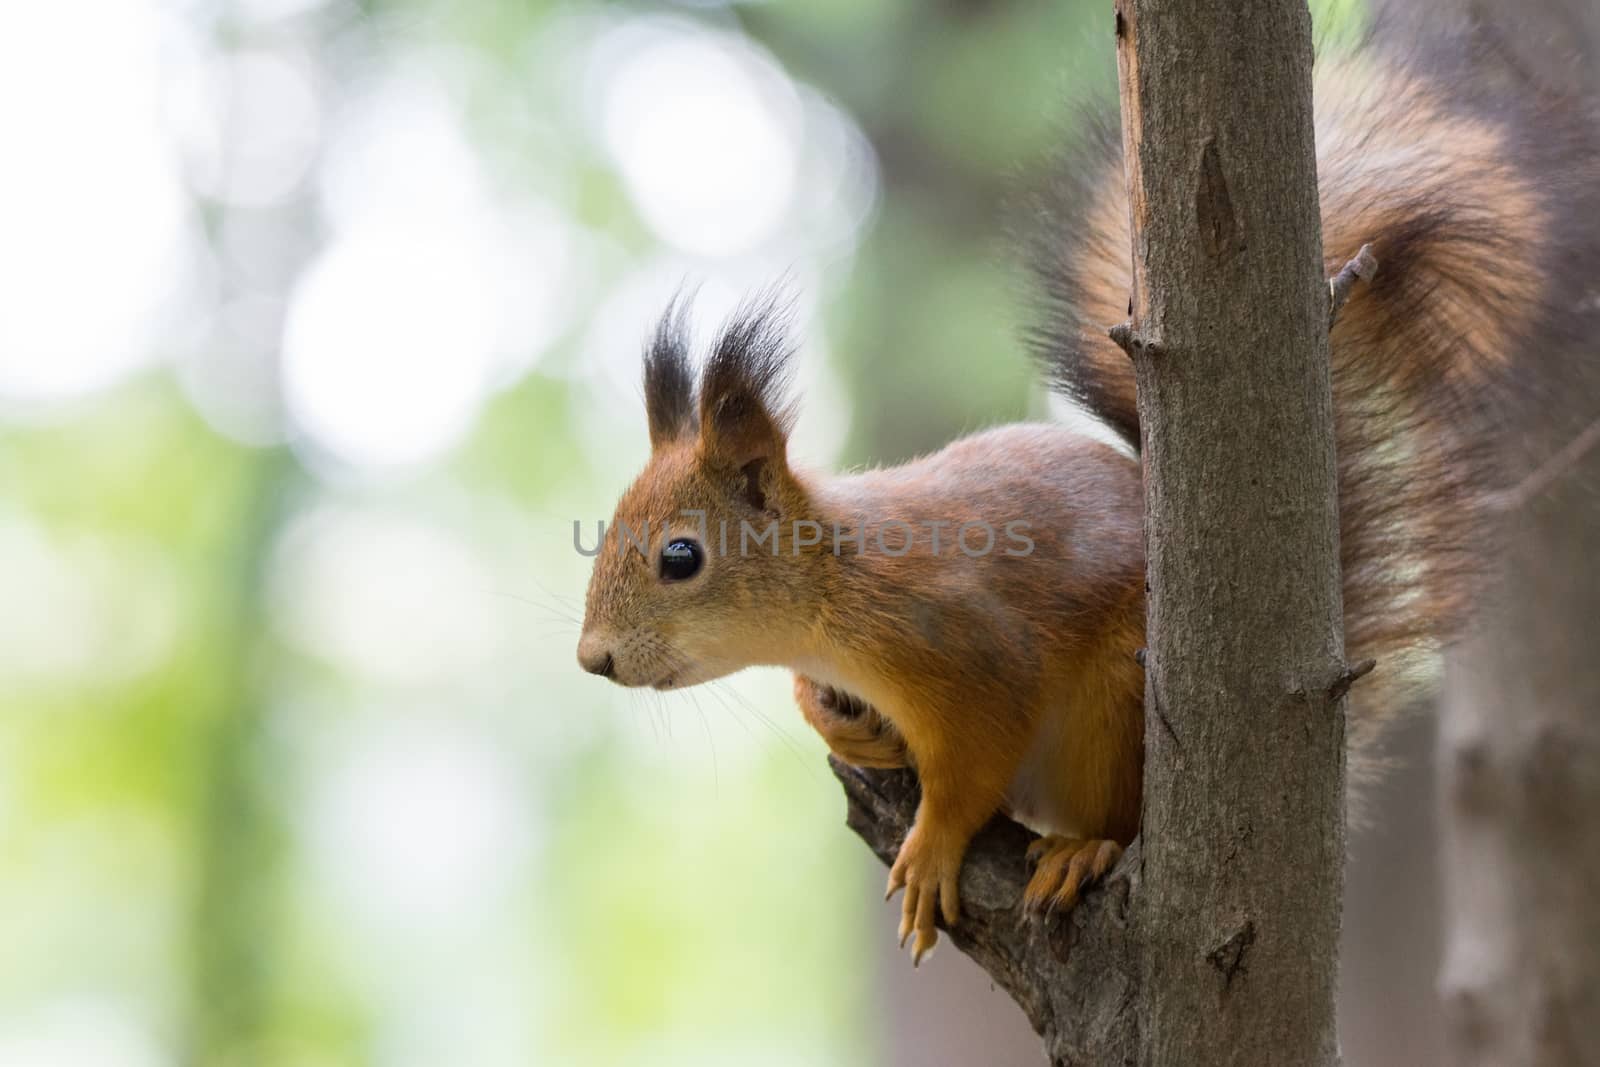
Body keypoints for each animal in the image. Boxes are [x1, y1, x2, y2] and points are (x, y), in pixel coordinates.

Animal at [576, 51, 1600, 959]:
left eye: (679, 557)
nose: (594, 660)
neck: (835, 584)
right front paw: (837, 722)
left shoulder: (967, 646)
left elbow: (971, 767)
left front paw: (931, 847)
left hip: (1115, 702)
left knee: (1118, 815)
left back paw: (1082, 850)